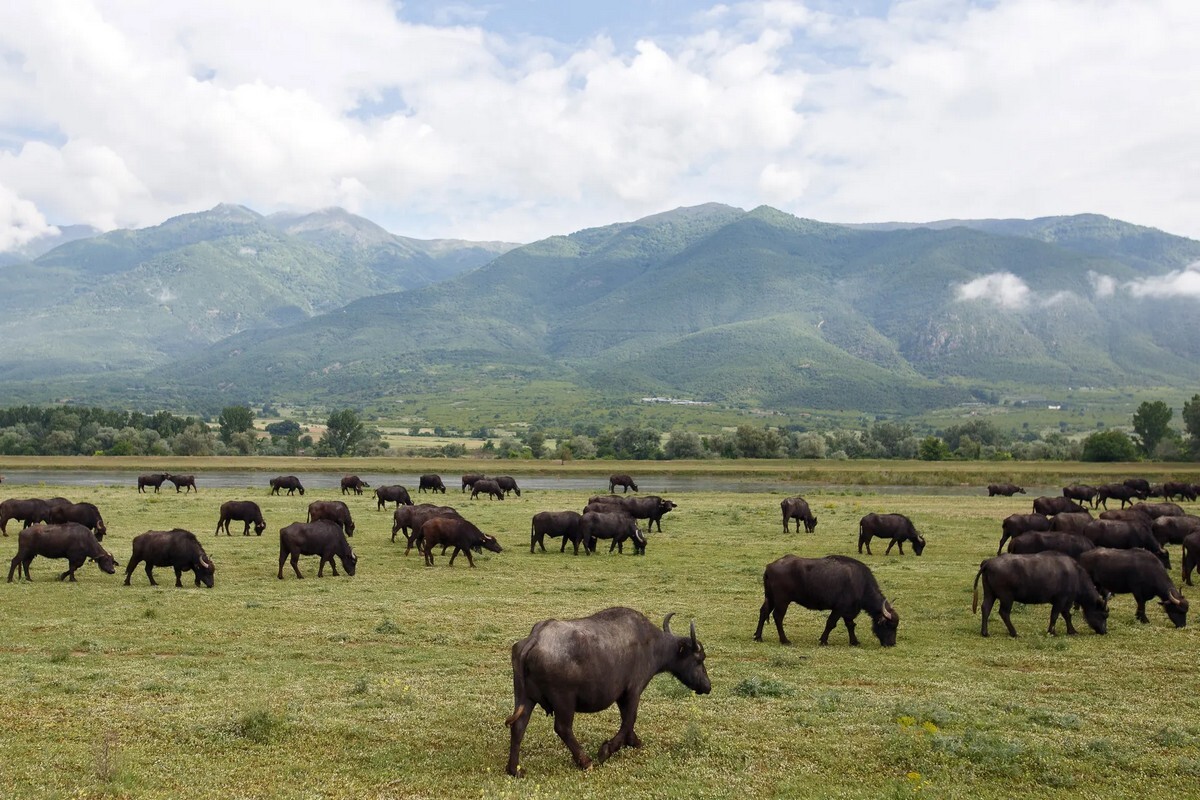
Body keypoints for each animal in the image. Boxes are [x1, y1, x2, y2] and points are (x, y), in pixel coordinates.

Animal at [501, 606, 705, 777]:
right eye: (699, 659)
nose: (707, 686)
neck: (650, 644)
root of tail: (536, 637)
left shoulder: (622, 696)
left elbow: (627, 720)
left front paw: (633, 741)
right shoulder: (633, 691)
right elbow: (629, 719)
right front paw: (608, 749)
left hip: (524, 698)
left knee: (518, 726)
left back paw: (514, 769)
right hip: (564, 701)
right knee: (562, 728)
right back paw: (585, 761)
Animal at [753, 556, 897, 652]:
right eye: (889, 626)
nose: (892, 644)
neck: (860, 583)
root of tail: (770, 567)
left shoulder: (848, 611)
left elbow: (850, 625)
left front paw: (854, 641)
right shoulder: (839, 609)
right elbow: (831, 623)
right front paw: (823, 640)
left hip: (770, 598)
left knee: (763, 611)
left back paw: (758, 636)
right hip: (782, 601)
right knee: (778, 617)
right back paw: (784, 640)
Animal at [969, 556, 1108, 638]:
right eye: (1104, 615)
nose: (1104, 631)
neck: (1076, 576)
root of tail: (988, 562)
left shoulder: (1066, 601)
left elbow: (1066, 615)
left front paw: (1071, 630)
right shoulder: (1061, 600)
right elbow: (1056, 615)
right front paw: (1052, 631)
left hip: (990, 594)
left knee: (986, 608)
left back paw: (985, 632)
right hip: (1006, 597)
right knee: (1004, 612)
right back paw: (1014, 632)